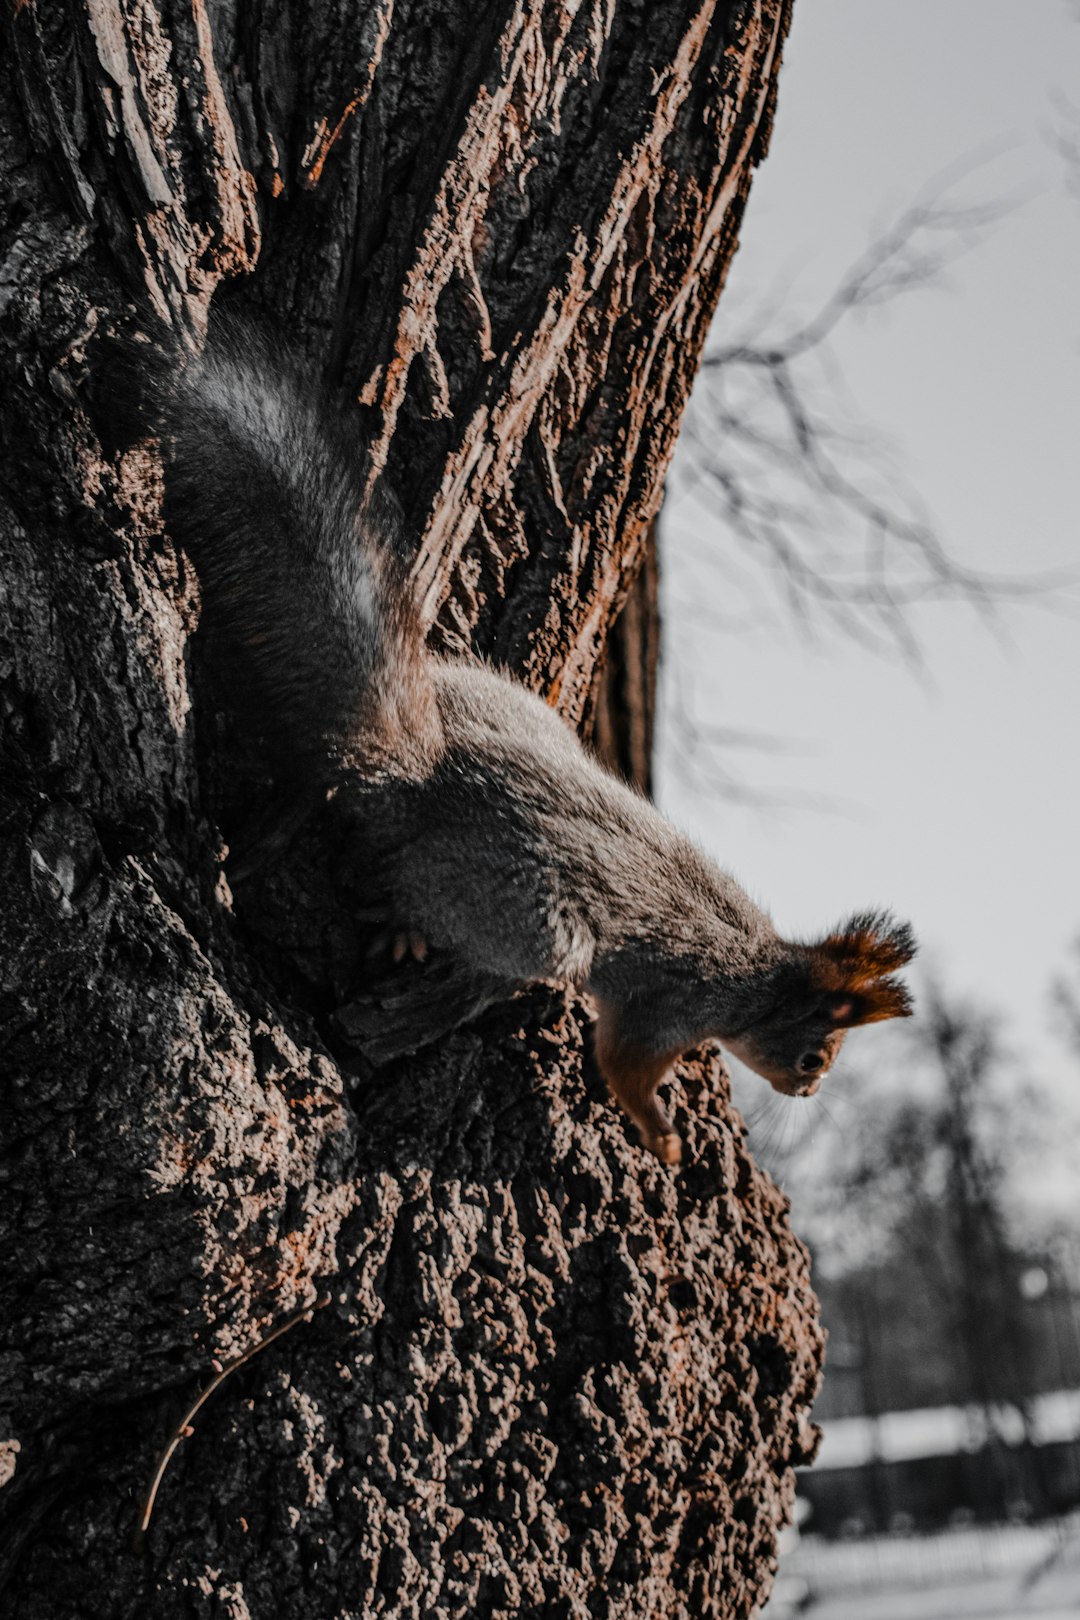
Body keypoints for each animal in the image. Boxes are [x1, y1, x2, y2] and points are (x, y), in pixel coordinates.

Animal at [131, 325, 919, 1166]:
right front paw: (664, 1136)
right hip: (541, 926)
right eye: (814, 1055)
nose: (808, 1090)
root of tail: (421, 776)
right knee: (395, 870)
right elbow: (622, 1065)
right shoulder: (668, 1006)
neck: (757, 971)